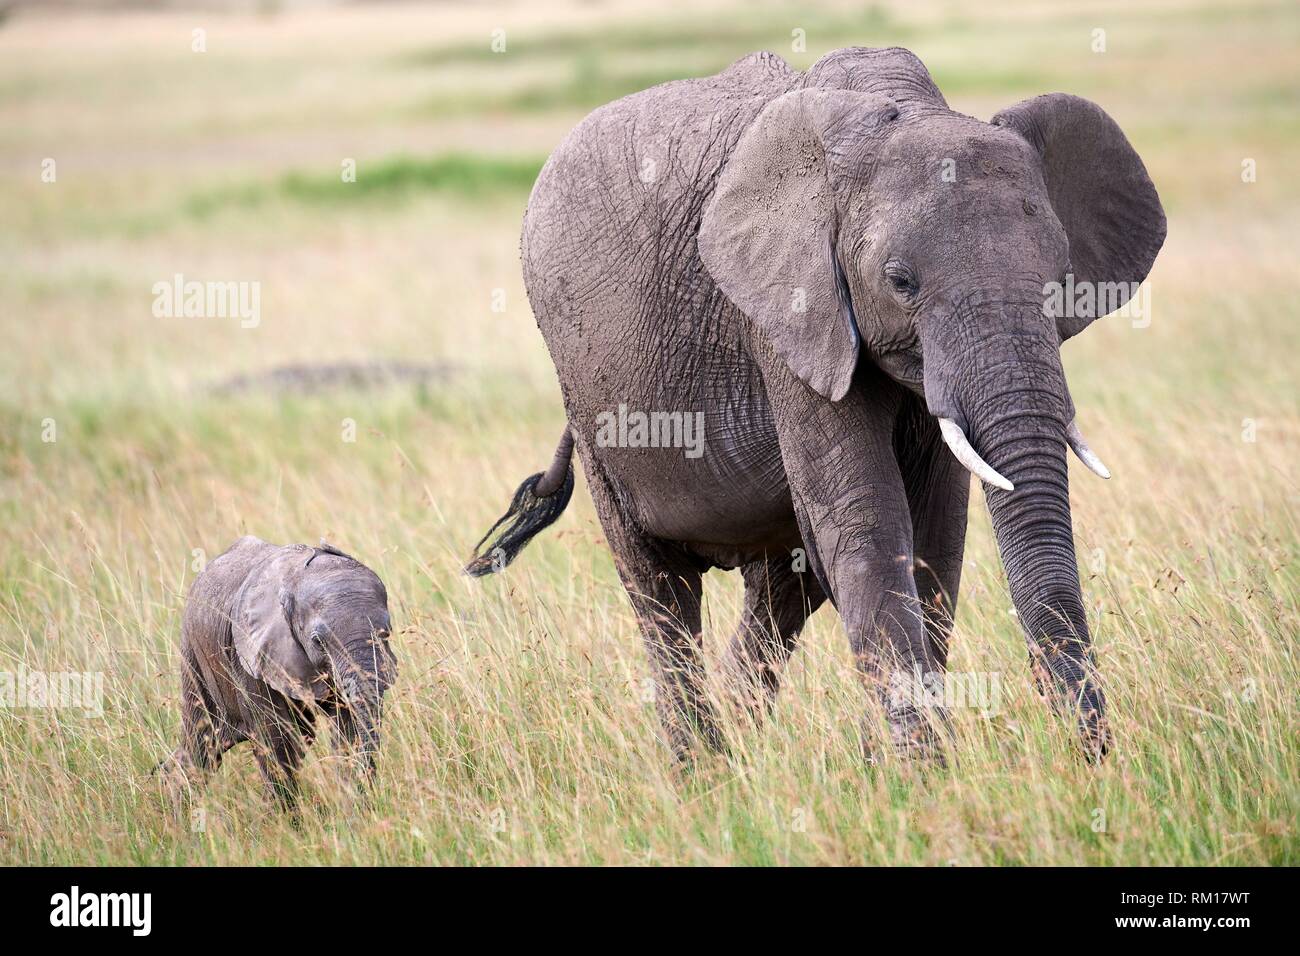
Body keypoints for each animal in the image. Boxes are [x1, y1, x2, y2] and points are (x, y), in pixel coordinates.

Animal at [162, 536, 397, 811]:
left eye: (386, 633)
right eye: (318, 642)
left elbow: (347, 728)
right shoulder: (250, 655)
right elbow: (274, 739)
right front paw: (287, 819)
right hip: (195, 655)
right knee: (202, 743)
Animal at [465, 47, 1166, 762]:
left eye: (1059, 280)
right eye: (900, 281)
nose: (1090, 758)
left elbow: (936, 539)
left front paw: (896, 763)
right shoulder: (790, 314)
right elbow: (871, 524)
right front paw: (924, 771)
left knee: (782, 589)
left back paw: (748, 755)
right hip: (586, 397)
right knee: (661, 591)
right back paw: (703, 772)